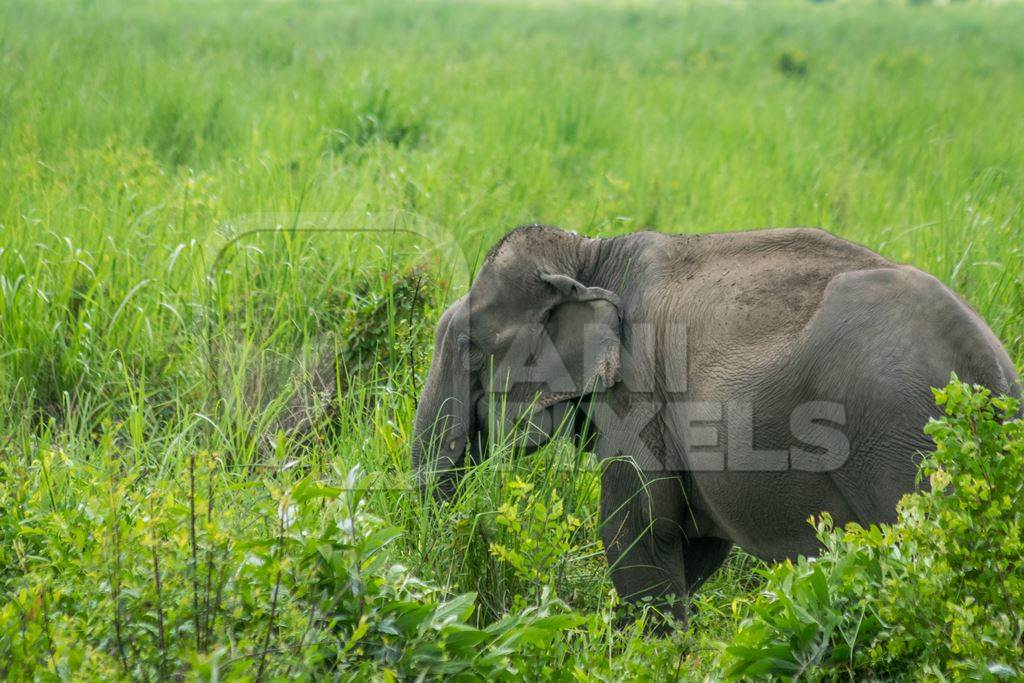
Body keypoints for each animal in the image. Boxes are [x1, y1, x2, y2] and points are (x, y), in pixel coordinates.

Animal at [407, 225, 1015, 626]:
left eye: (470, 347)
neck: (589, 257)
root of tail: (992, 374)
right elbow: (691, 545)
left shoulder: (641, 397)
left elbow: (639, 530)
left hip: (904, 444)